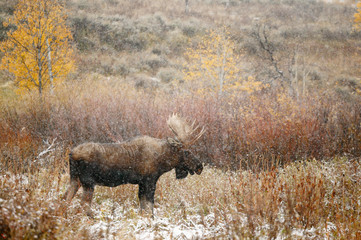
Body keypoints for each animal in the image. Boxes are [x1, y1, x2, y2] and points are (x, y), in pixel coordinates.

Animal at [61, 114, 202, 216]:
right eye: (186, 152)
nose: (199, 166)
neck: (163, 161)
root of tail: (71, 154)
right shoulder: (149, 180)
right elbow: (149, 208)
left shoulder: (141, 183)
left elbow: (143, 207)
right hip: (88, 182)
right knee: (82, 207)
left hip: (75, 179)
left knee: (65, 199)